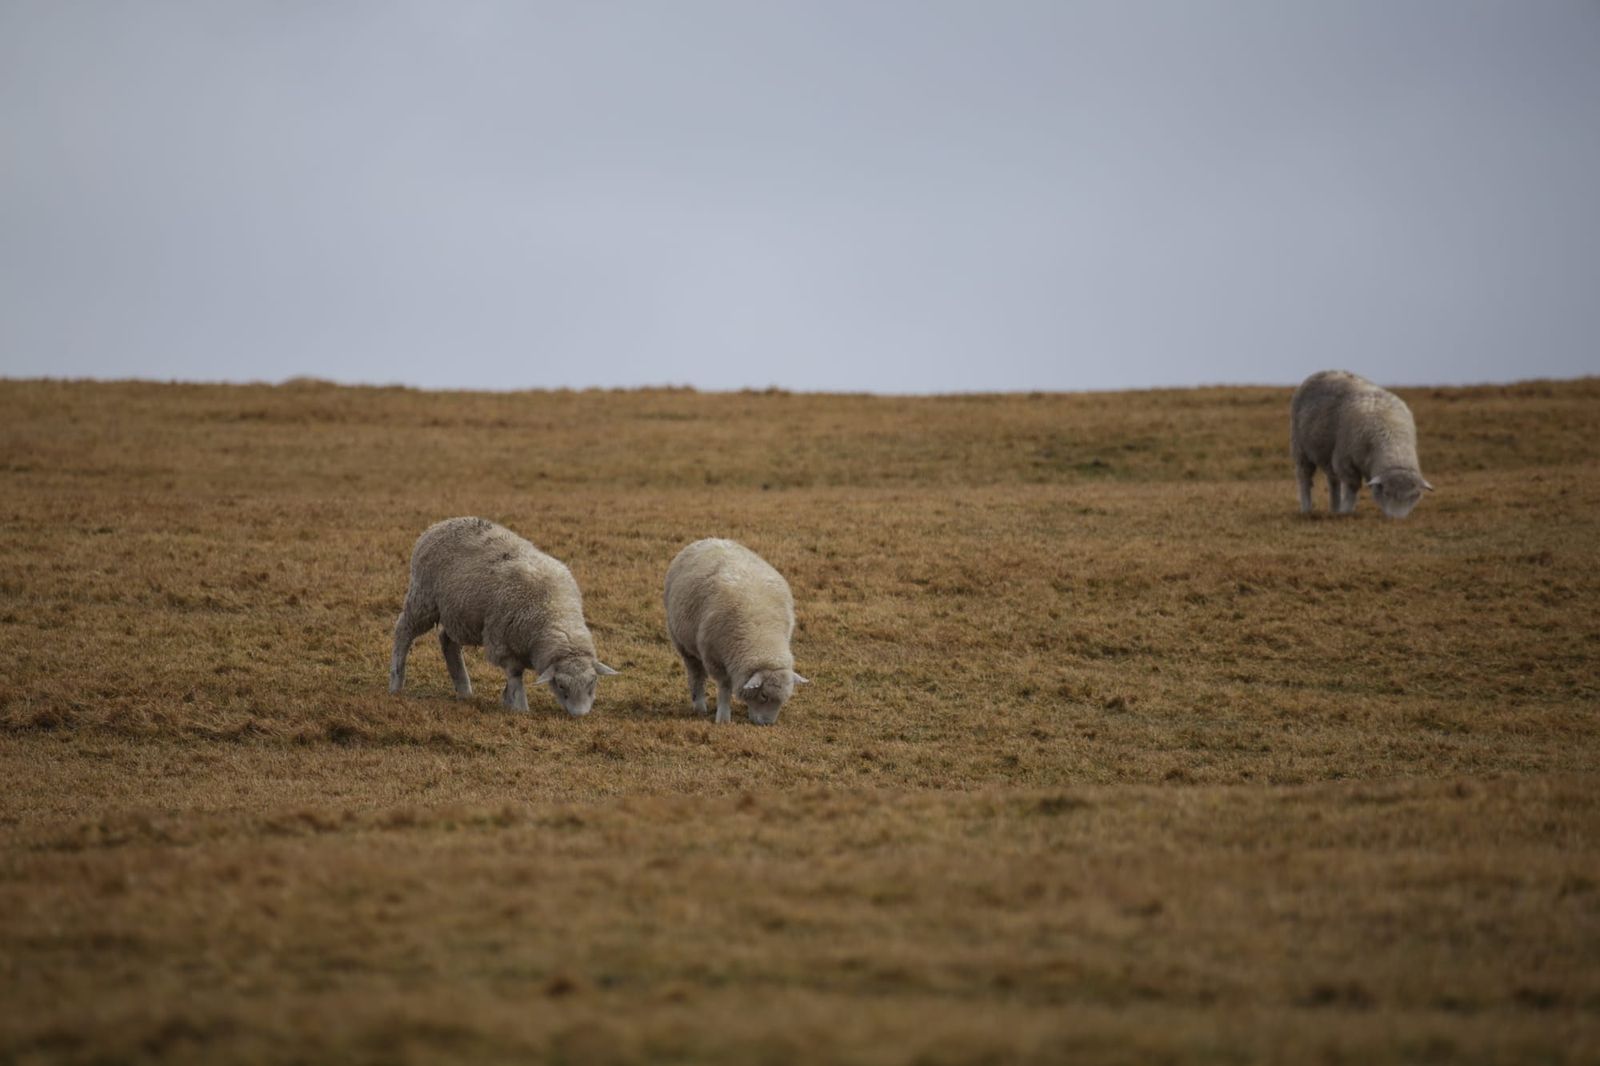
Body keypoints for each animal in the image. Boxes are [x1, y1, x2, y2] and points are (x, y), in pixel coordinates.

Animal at [389, 517, 618, 716]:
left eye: (593, 682)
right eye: (561, 685)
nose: (580, 714)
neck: (554, 611)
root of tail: (439, 524)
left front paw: (506, 699)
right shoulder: (502, 643)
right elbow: (515, 675)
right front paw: (519, 707)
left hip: (459, 613)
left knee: (447, 641)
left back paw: (464, 689)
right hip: (423, 598)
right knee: (403, 632)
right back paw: (396, 682)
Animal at [664, 538, 809, 726]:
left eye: (784, 698)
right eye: (764, 695)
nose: (767, 724)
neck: (762, 634)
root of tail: (709, 540)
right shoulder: (715, 659)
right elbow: (725, 688)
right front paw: (723, 718)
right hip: (683, 643)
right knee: (696, 674)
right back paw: (699, 706)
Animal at [1290, 370, 1434, 518]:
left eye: (1415, 496)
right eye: (1386, 493)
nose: (1397, 518)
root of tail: (1326, 371)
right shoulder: (1345, 461)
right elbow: (1352, 486)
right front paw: (1346, 510)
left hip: (1328, 453)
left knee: (1333, 480)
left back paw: (1334, 508)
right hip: (1300, 448)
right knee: (1304, 477)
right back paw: (1307, 508)